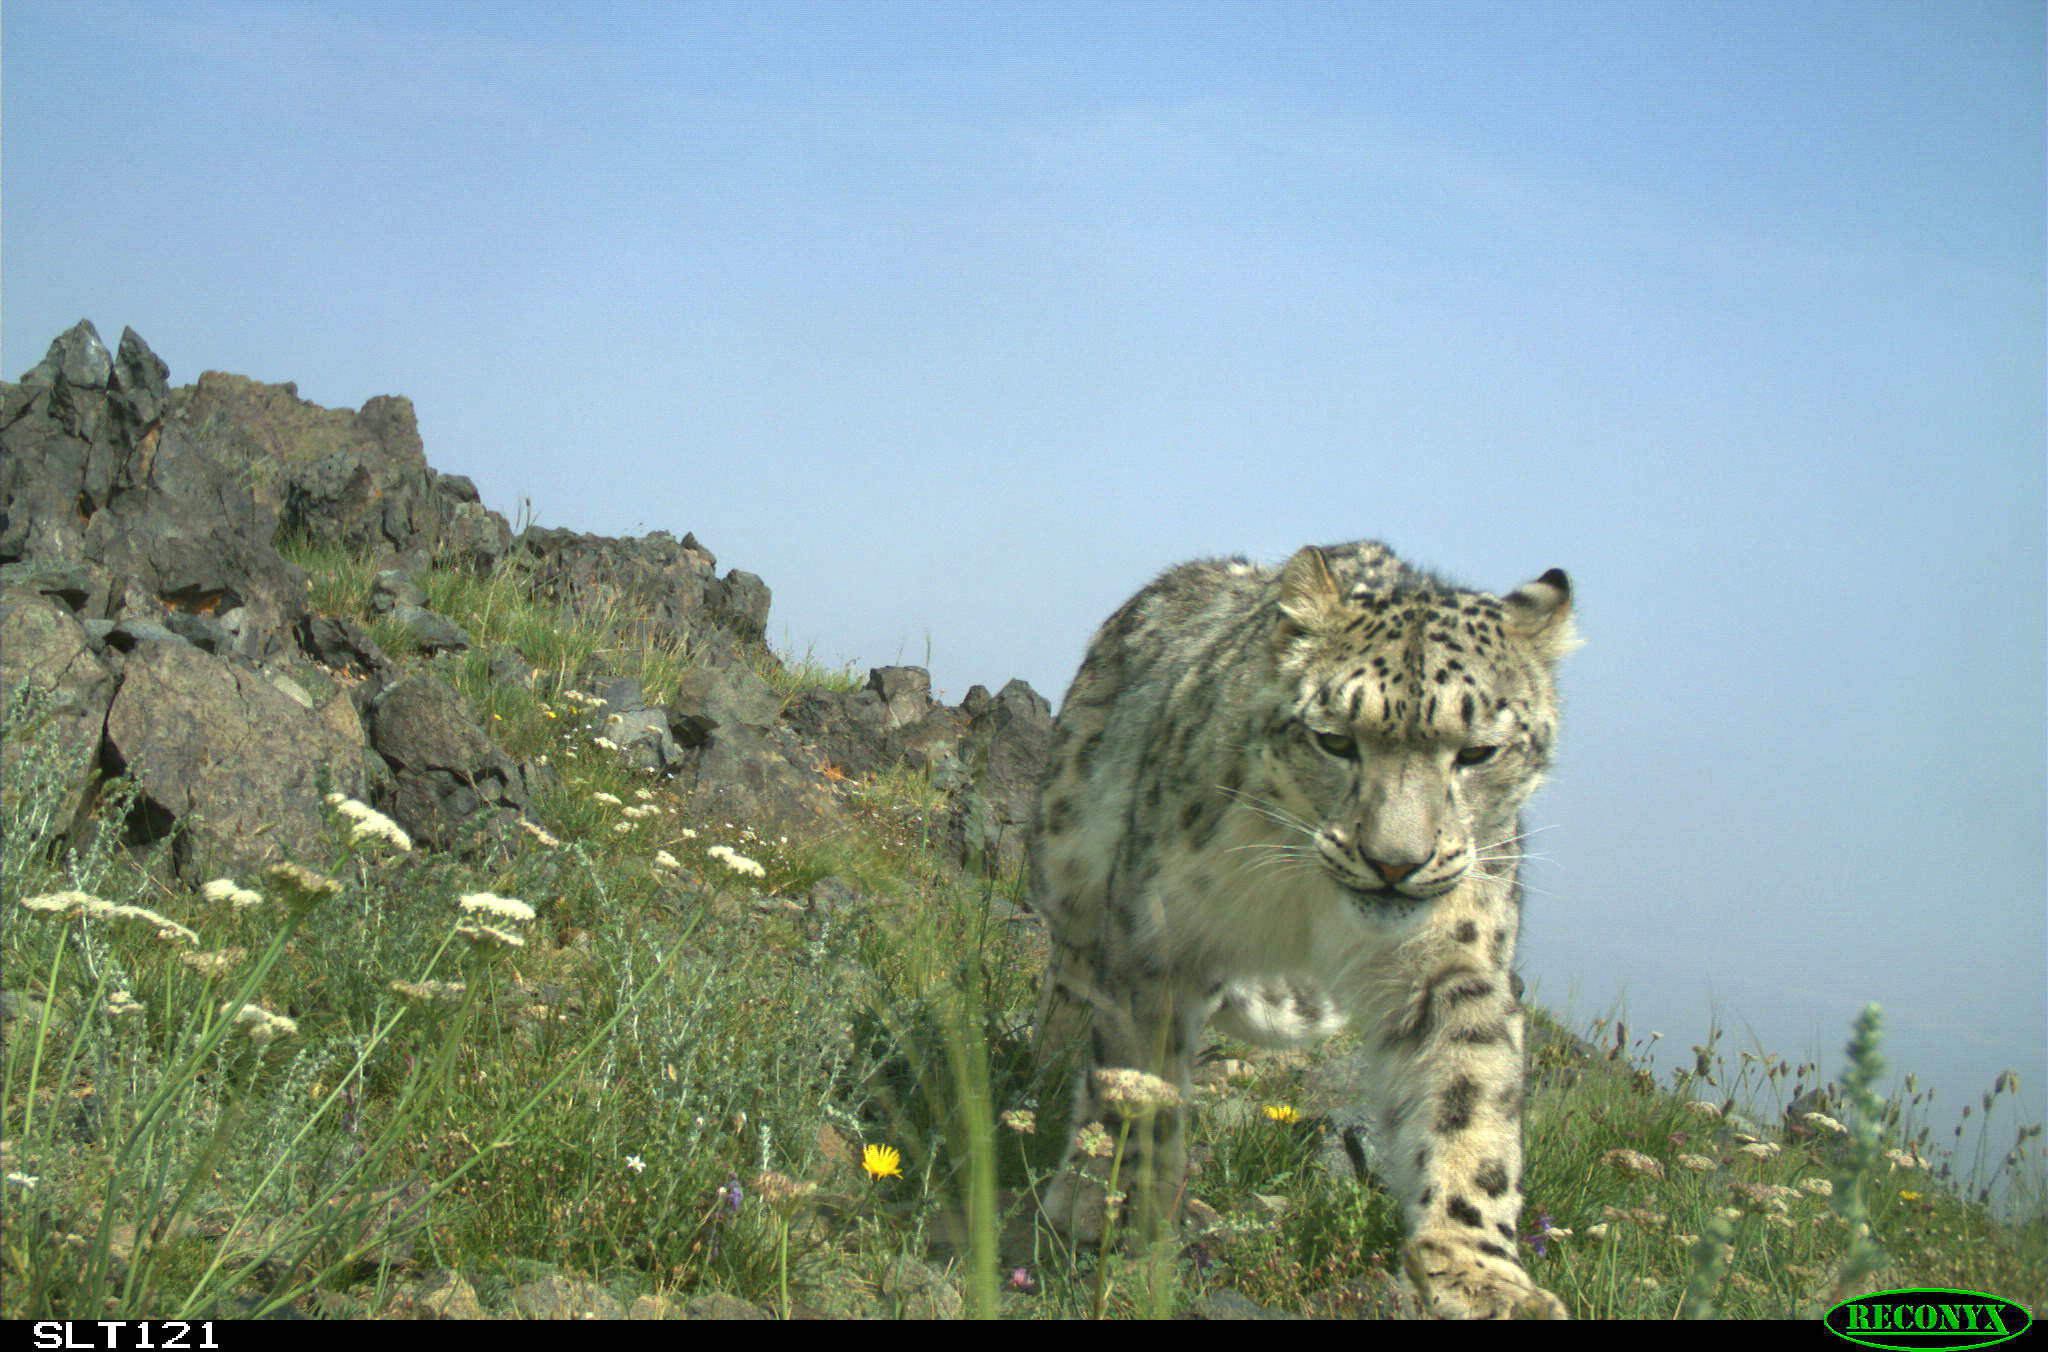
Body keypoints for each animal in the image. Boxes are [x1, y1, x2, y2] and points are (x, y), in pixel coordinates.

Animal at [1027, 539, 1576, 1319]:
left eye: (1477, 752)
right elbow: (1141, 1080)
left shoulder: (1454, 960)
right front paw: (1121, 1197)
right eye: (1334, 740)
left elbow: (1470, 1102)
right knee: (1074, 974)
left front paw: (1483, 1275)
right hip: (1068, 851)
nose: (1394, 862)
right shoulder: (1157, 933)